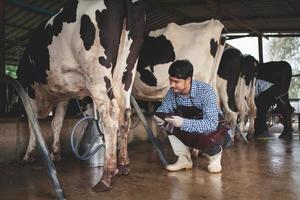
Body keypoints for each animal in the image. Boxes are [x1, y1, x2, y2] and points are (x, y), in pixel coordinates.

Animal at [16, 0, 145, 191]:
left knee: (110, 117)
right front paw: (55, 153)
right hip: (126, 74)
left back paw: (106, 176)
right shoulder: (64, 95)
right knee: (126, 115)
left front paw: (28, 155)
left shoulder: (29, 87)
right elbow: (57, 122)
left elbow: (33, 123)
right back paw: (124, 165)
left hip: (97, 75)